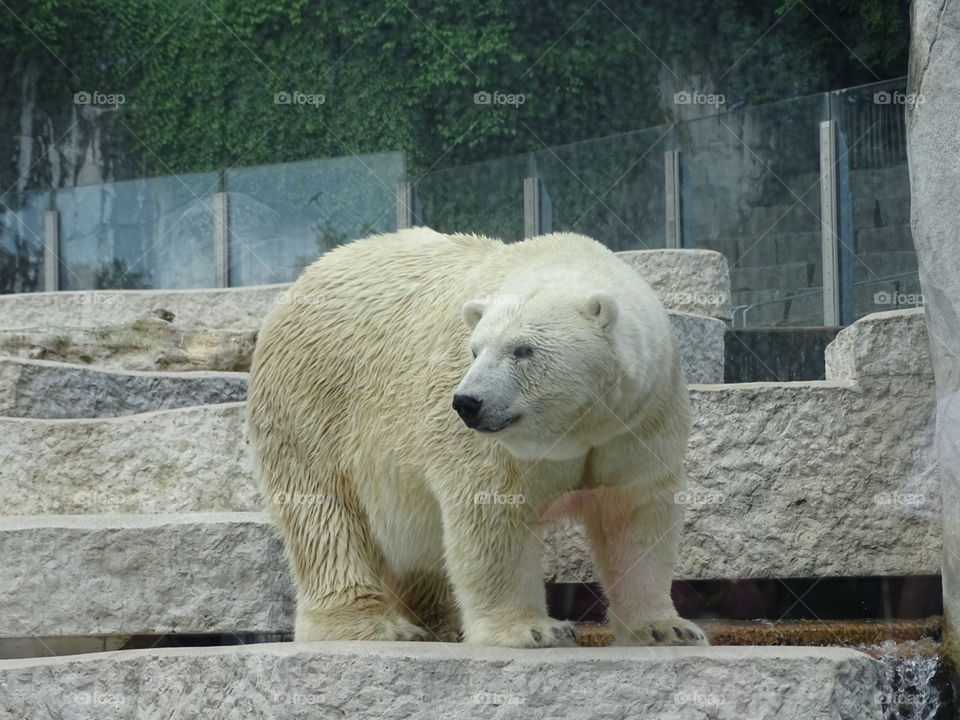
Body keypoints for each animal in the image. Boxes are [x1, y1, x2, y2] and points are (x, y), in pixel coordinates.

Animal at [247, 228, 707, 648]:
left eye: (523, 350)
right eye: (475, 349)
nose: (467, 402)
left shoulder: (638, 421)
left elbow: (635, 516)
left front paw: (667, 629)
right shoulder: (493, 447)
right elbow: (492, 515)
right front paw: (533, 629)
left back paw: (441, 624)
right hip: (313, 404)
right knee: (324, 516)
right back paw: (370, 625)